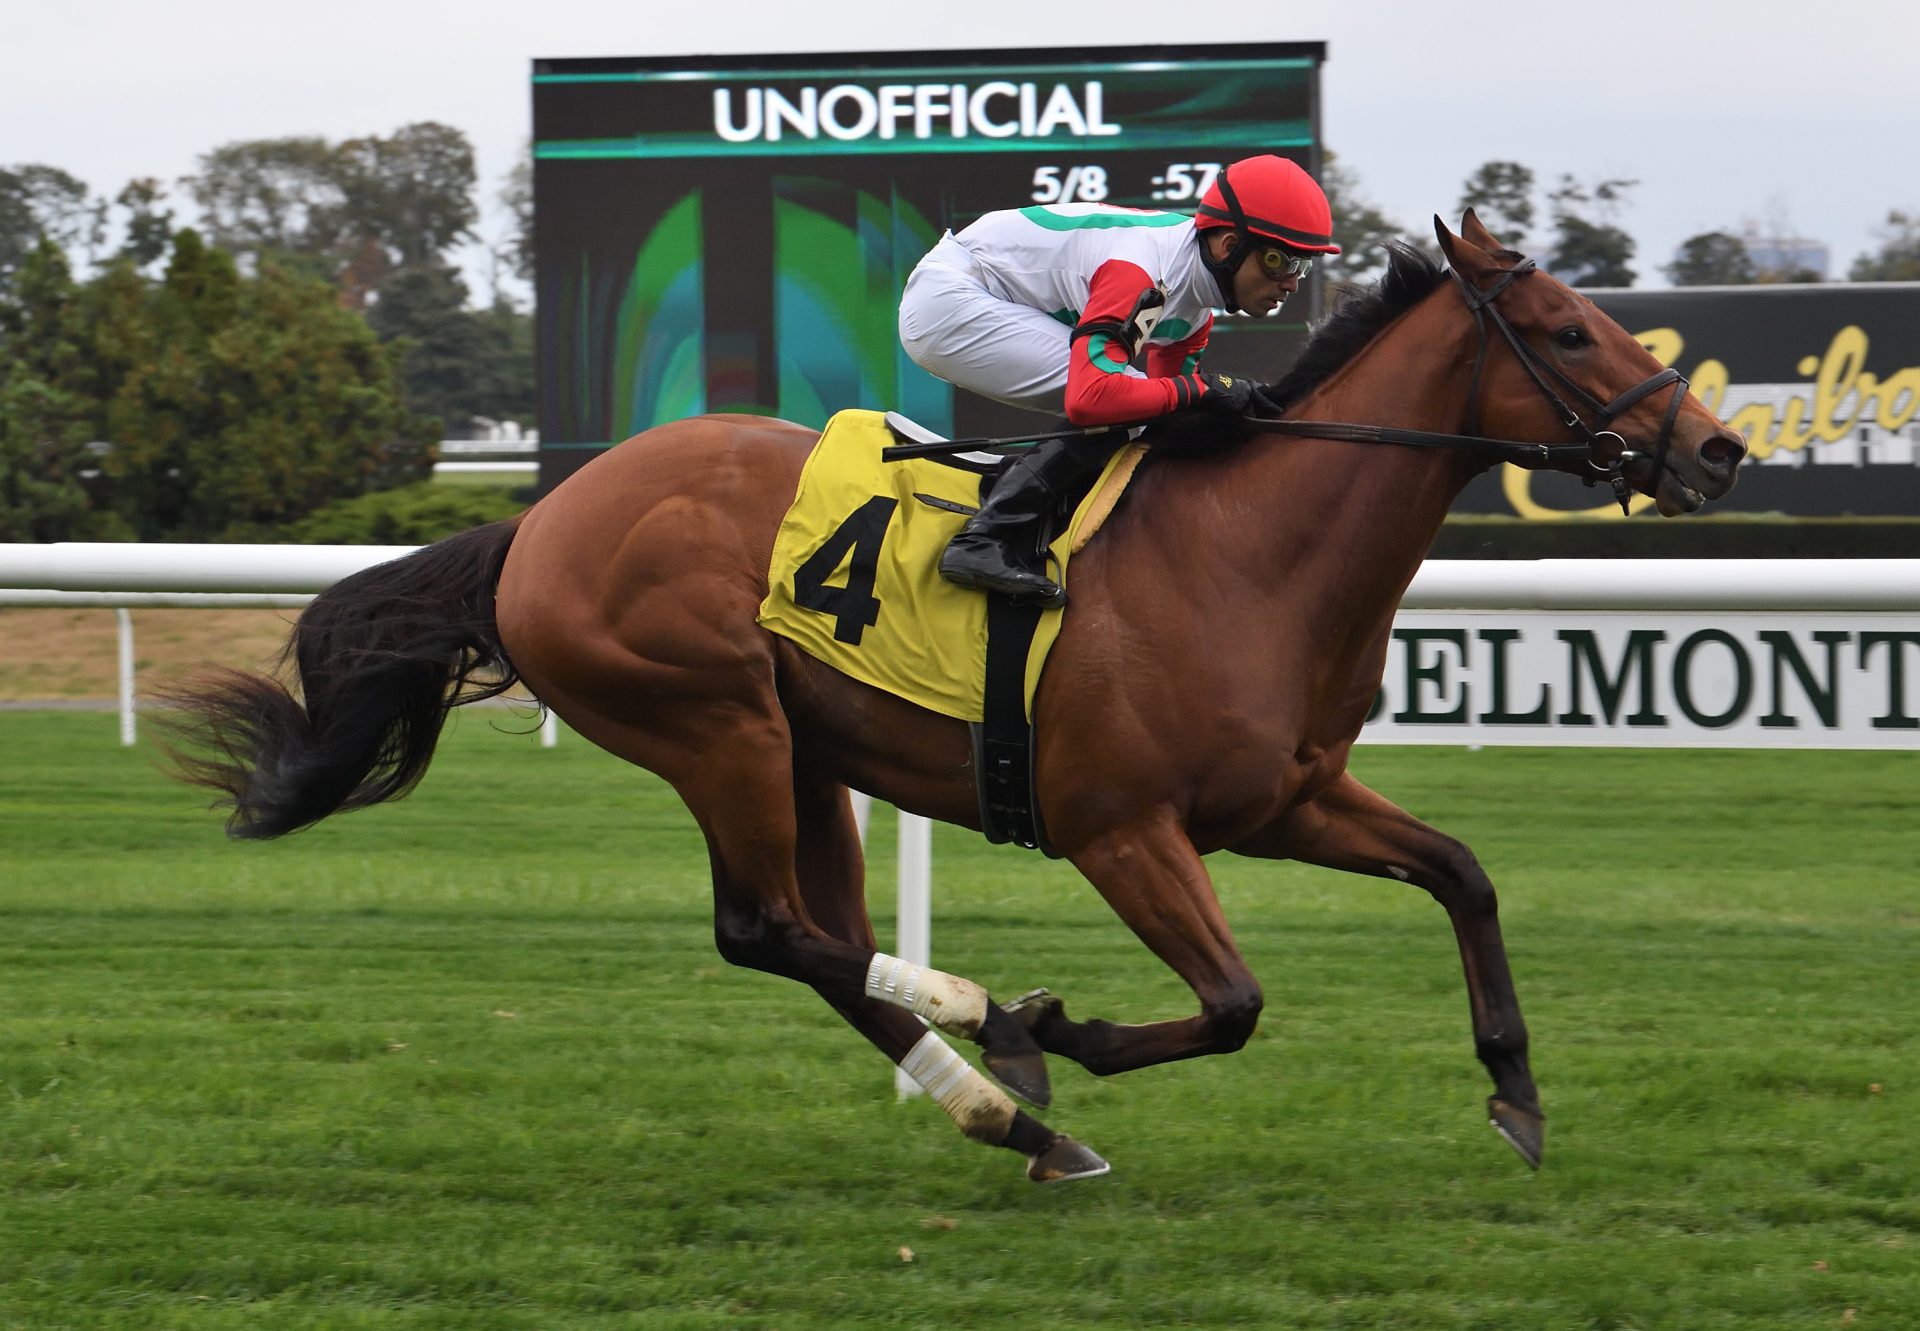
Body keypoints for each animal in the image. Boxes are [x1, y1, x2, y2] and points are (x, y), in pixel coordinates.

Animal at [172, 217, 1751, 1183]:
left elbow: (1463, 872)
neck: (1249, 554)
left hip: (802, 750)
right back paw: (998, 1030)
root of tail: (539, 521)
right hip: (713, 719)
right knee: (767, 931)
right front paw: (1065, 1022)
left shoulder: (1289, 796)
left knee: (811, 938)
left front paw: (1517, 1091)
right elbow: (1233, 1002)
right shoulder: (1121, 826)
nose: (1721, 451)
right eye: (1569, 330)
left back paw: (1009, 1112)